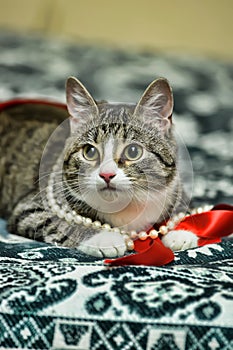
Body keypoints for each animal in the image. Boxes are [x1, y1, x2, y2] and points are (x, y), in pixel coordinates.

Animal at [0, 76, 198, 258]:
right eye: (89, 151)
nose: (107, 174)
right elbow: (59, 222)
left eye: (133, 151)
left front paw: (180, 231)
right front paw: (103, 238)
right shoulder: (30, 208)